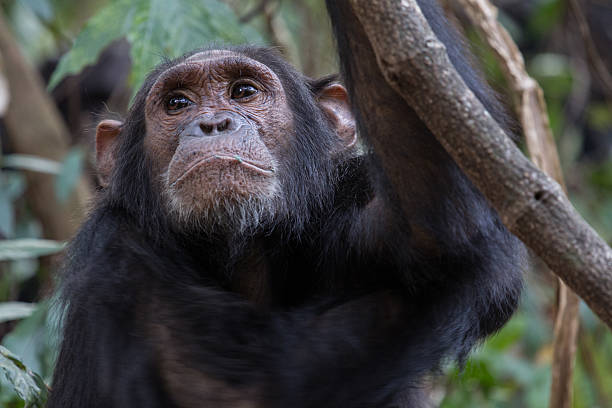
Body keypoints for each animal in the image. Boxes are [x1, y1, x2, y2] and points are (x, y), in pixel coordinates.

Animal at [49, 0, 524, 408]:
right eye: (177, 103)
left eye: (243, 91)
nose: (213, 123)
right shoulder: (118, 255)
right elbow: (244, 389)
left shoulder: (351, 197)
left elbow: (432, 237)